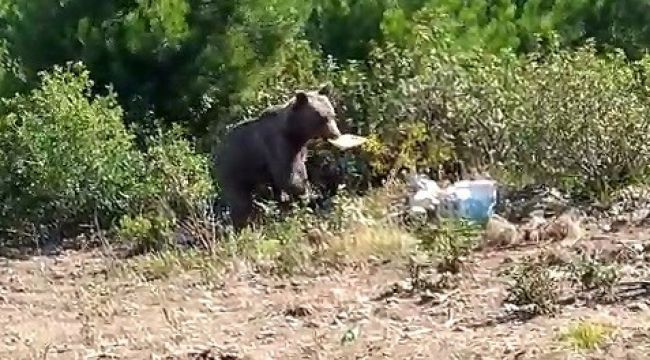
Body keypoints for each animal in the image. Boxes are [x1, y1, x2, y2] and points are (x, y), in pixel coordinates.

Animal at [214, 84, 344, 229]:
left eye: (332, 114)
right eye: (322, 118)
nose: (336, 134)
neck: (294, 133)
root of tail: (216, 153)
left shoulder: (299, 150)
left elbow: (299, 171)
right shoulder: (278, 146)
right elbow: (288, 177)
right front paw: (310, 196)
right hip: (234, 170)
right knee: (240, 202)